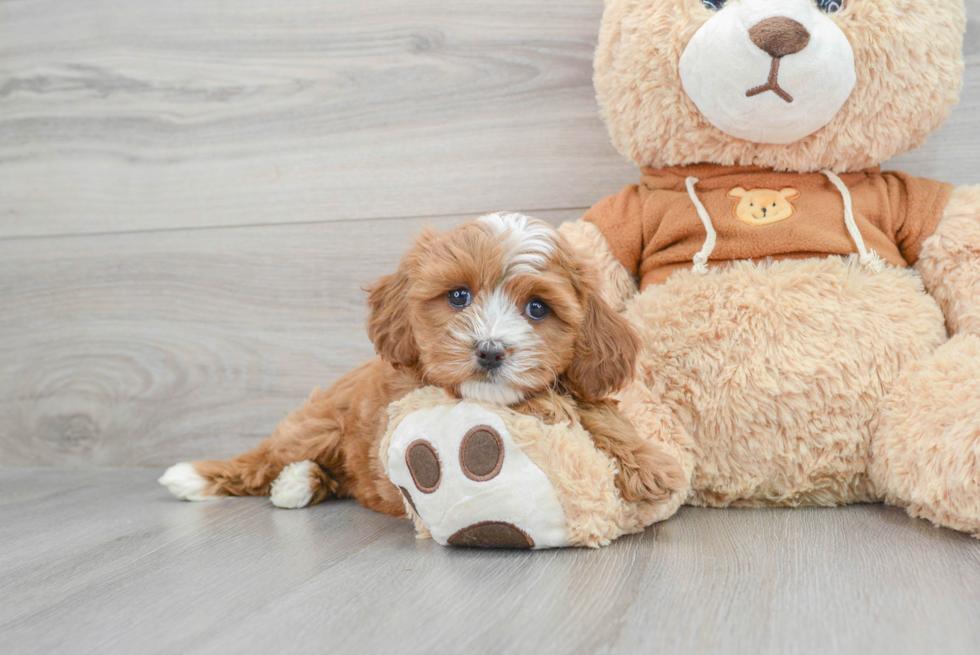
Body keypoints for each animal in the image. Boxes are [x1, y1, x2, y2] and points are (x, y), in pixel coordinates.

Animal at [159, 215, 680, 516]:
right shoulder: (418, 393)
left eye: (537, 308)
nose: (489, 351)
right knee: (263, 457)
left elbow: (597, 409)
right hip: (315, 425)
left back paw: (301, 482)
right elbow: (541, 402)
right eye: (458, 296)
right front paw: (552, 409)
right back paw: (201, 477)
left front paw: (649, 465)